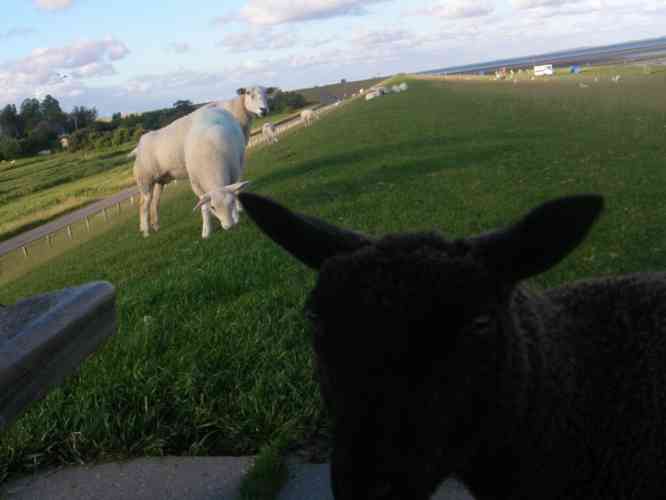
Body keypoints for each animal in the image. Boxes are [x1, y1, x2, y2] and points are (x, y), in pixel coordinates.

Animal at [130, 85, 268, 238]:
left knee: (155, 202)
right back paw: (146, 231)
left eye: (266, 93)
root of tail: (139, 144)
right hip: (145, 179)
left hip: (159, 180)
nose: (264, 110)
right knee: (144, 204)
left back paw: (155, 225)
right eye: (249, 93)